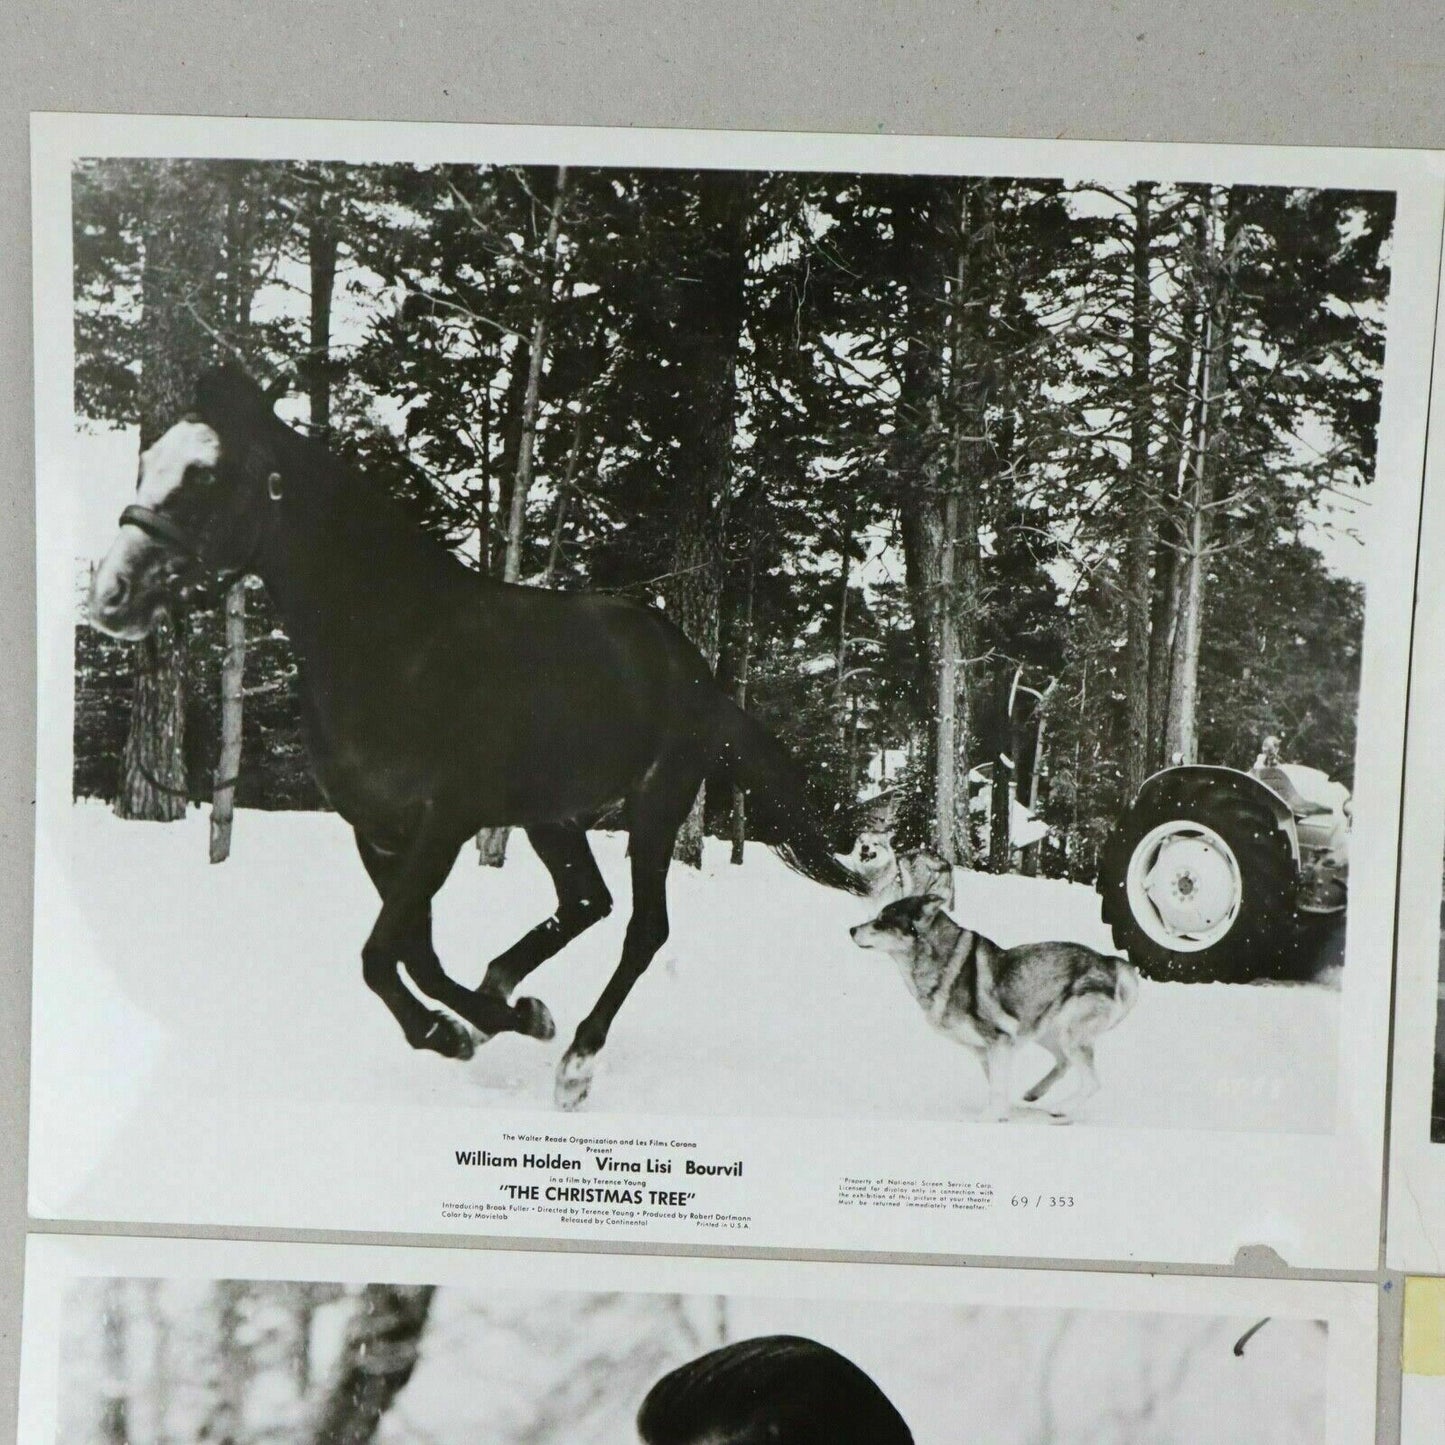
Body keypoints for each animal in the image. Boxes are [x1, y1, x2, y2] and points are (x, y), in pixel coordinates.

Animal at [93, 367, 867, 1109]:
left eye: (206, 474)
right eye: (146, 464)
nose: (110, 594)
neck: (398, 646)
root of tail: (697, 676)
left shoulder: (445, 822)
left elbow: (382, 955)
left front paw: (463, 1030)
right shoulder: (376, 831)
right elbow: (414, 954)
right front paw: (497, 1019)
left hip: (655, 805)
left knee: (642, 928)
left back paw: (577, 1060)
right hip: (551, 816)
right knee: (586, 902)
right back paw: (506, 989)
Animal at [843, 895, 1138, 1121]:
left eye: (881, 920)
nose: (851, 930)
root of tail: (1112, 961)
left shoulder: (999, 1041)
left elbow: (997, 1088)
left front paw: (989, 1117)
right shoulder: (988, 1050)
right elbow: (997, 1084)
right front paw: (1004, 1112)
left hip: (1068, 1033)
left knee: (1092, 1082)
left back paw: (1061, 1110)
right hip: (1043, 1029)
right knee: (1063, 1063)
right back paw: (1034, 1093)